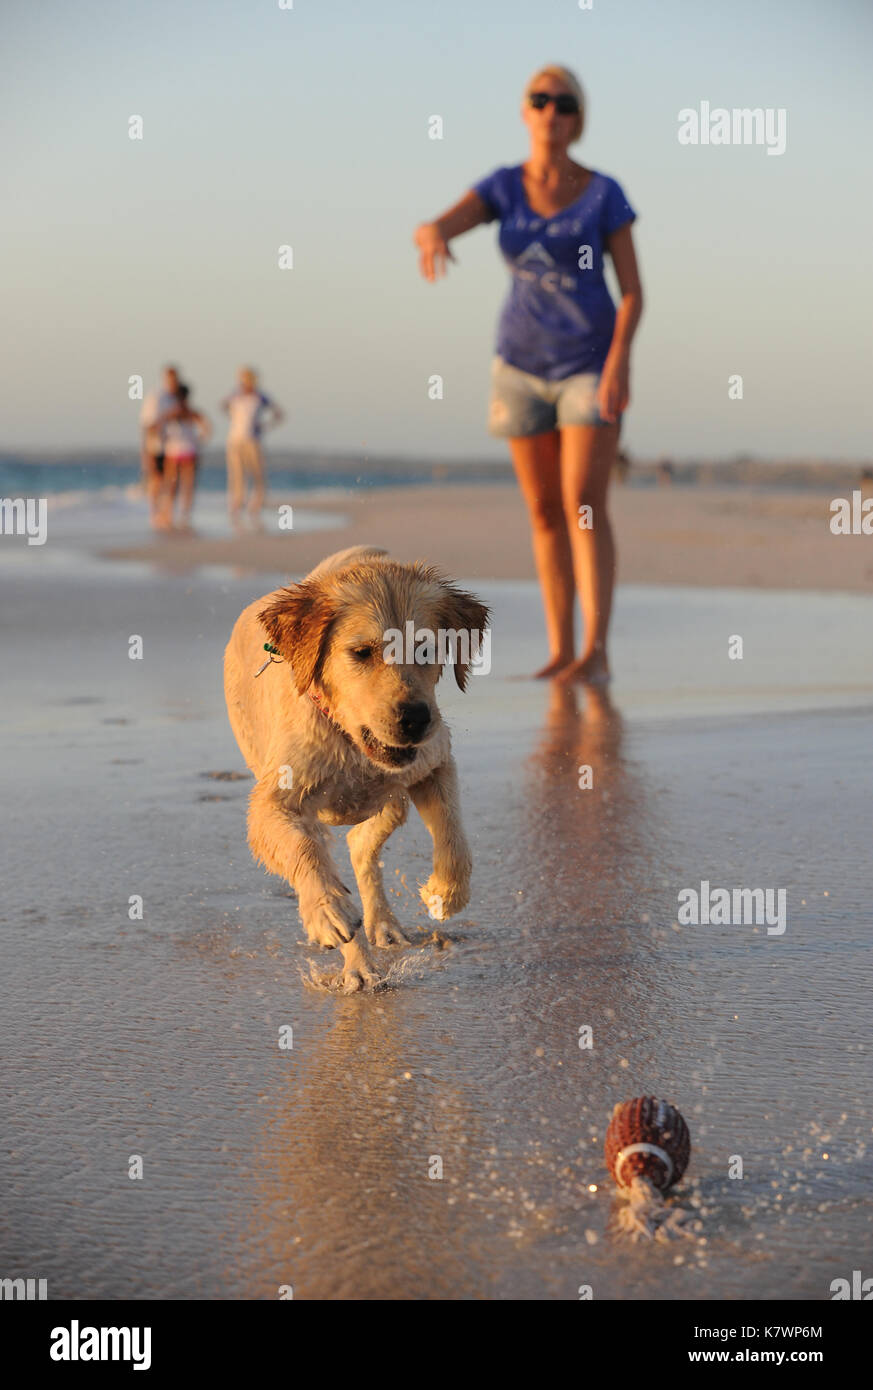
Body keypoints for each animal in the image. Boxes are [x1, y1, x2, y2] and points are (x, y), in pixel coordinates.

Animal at [223, 542, 492, 989]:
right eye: (361, 653)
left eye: (426, 649)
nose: (416, 718)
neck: (350, 743)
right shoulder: (273, 804)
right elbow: (302, 850)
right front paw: (327, 912)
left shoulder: (435, 762)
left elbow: (455, 839)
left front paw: (443, 893)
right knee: (327, 846)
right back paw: (361, 965)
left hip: (392, 799)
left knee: (359, 844)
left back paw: (382, 927)